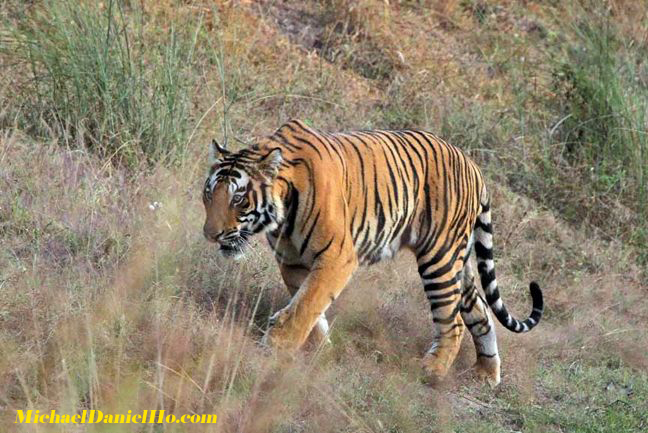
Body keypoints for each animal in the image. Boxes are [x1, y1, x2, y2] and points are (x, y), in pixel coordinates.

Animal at [201, 118, 540, 384]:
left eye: (238, 199)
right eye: (209, 193)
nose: (210, 234)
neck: (282, 212)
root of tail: (475, 168)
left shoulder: (337, 256)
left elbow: (306, 305)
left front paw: (276, 348)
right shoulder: (293, 260)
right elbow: (309, 305)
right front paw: (320, 348)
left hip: (439, 258)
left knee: (453, 321)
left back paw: (431, 372)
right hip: (460, 262)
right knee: (481, 311)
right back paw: (486, 374)